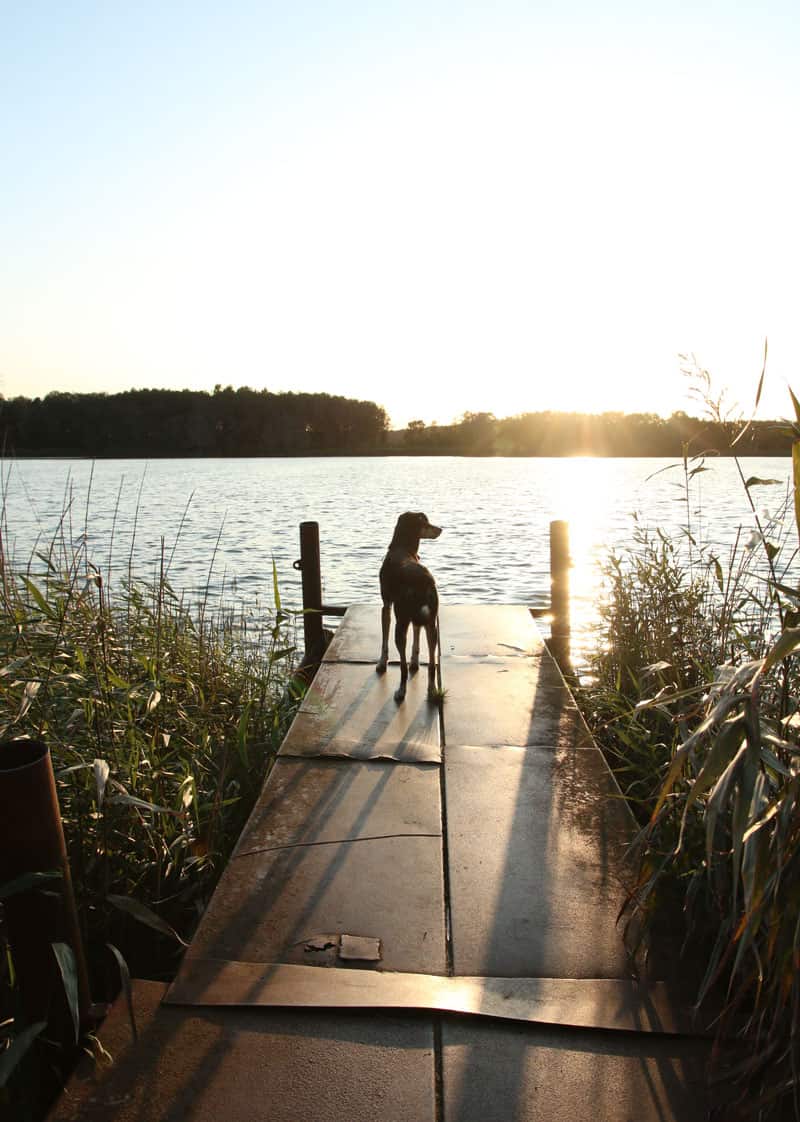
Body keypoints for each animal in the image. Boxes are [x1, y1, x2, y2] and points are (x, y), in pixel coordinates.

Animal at [376, 513, 442, 704]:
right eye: (425, 523)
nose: (440, 529)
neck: (403, 549)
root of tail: (423, 581)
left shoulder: (386, 606)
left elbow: (384, 640)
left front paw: (382, 663)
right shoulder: (418, 617)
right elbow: (416, 637)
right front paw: (415, 661)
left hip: (401, 623)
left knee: (403, 667)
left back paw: (401, 691)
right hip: (432, 624)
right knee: (432, 665)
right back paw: (432, 690)